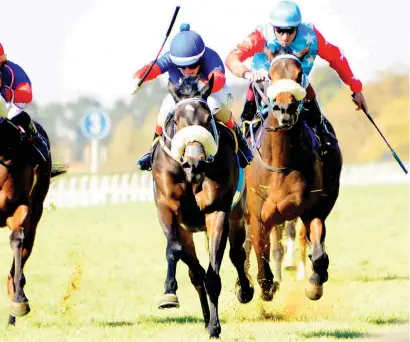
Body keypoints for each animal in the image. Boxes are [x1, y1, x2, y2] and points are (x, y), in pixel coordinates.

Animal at [151, 76, 253, 338]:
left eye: (207, 119)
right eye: (176, 121)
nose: (194, 162)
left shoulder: (217, 212)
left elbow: (213, 275)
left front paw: (215, 327)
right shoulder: (167, 207)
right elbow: (175, 251)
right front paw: (169, 293)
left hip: (237, 215)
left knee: (237, 254)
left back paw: (245, 291)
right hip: (187, 228)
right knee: (194, 271)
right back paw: (205, 316)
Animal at [243, 47, 342, 302]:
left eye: (299, 75)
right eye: (271, 75)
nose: (284, 109)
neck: (281, 162)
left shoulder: (311, 210)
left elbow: (318, 252)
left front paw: (315, 283)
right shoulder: (258, 216)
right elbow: (260, 253)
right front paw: (266, 286)